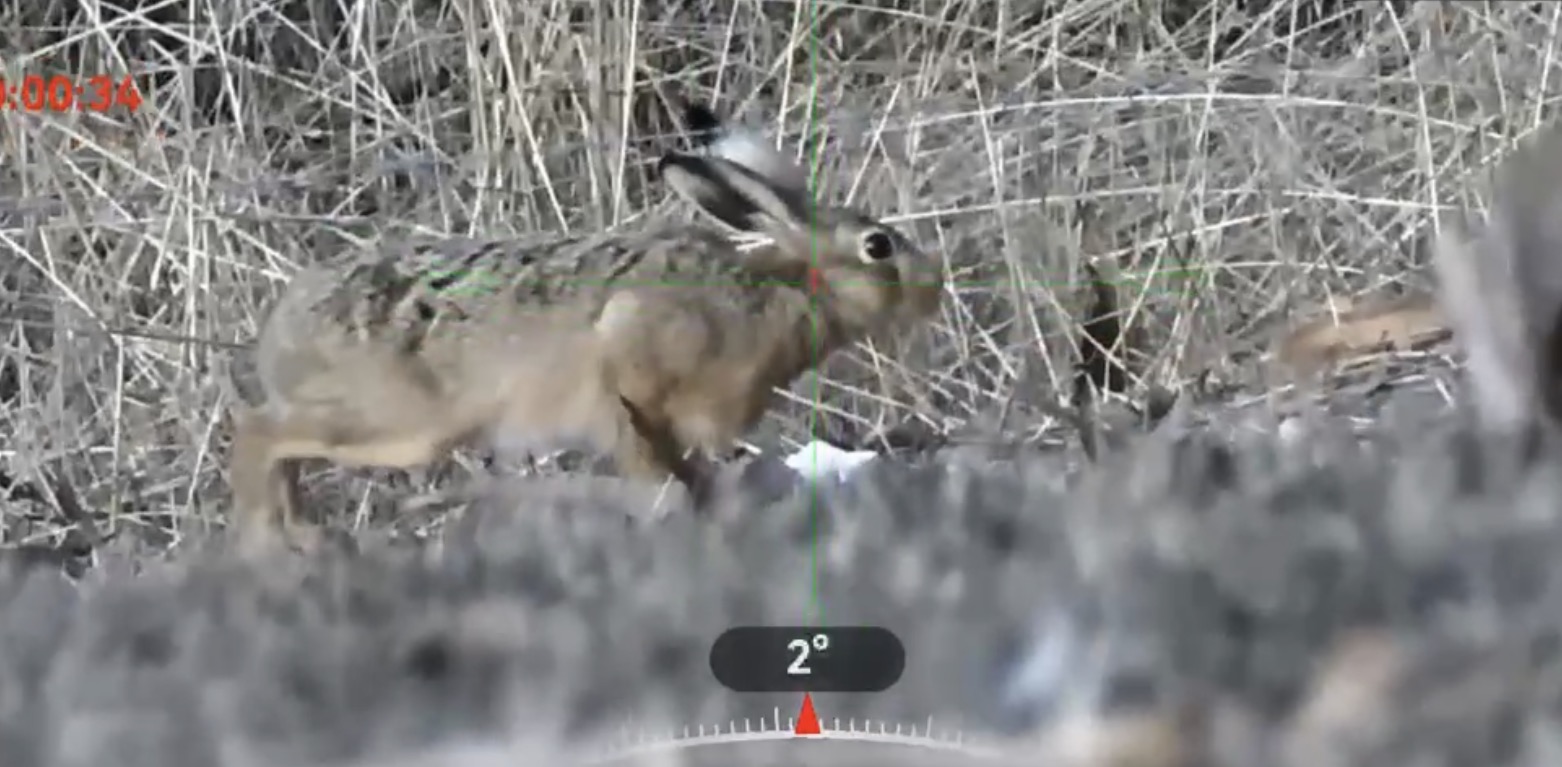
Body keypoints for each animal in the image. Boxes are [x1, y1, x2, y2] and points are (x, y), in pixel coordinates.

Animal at [227, 101, 946, 551]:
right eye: (878, 246)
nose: (935, 287)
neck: (788, 291)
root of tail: (277, 336)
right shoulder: (631, 383)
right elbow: (654, 468)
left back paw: (305, 539)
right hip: (400, 424)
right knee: (259, 432)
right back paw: (273, 544)